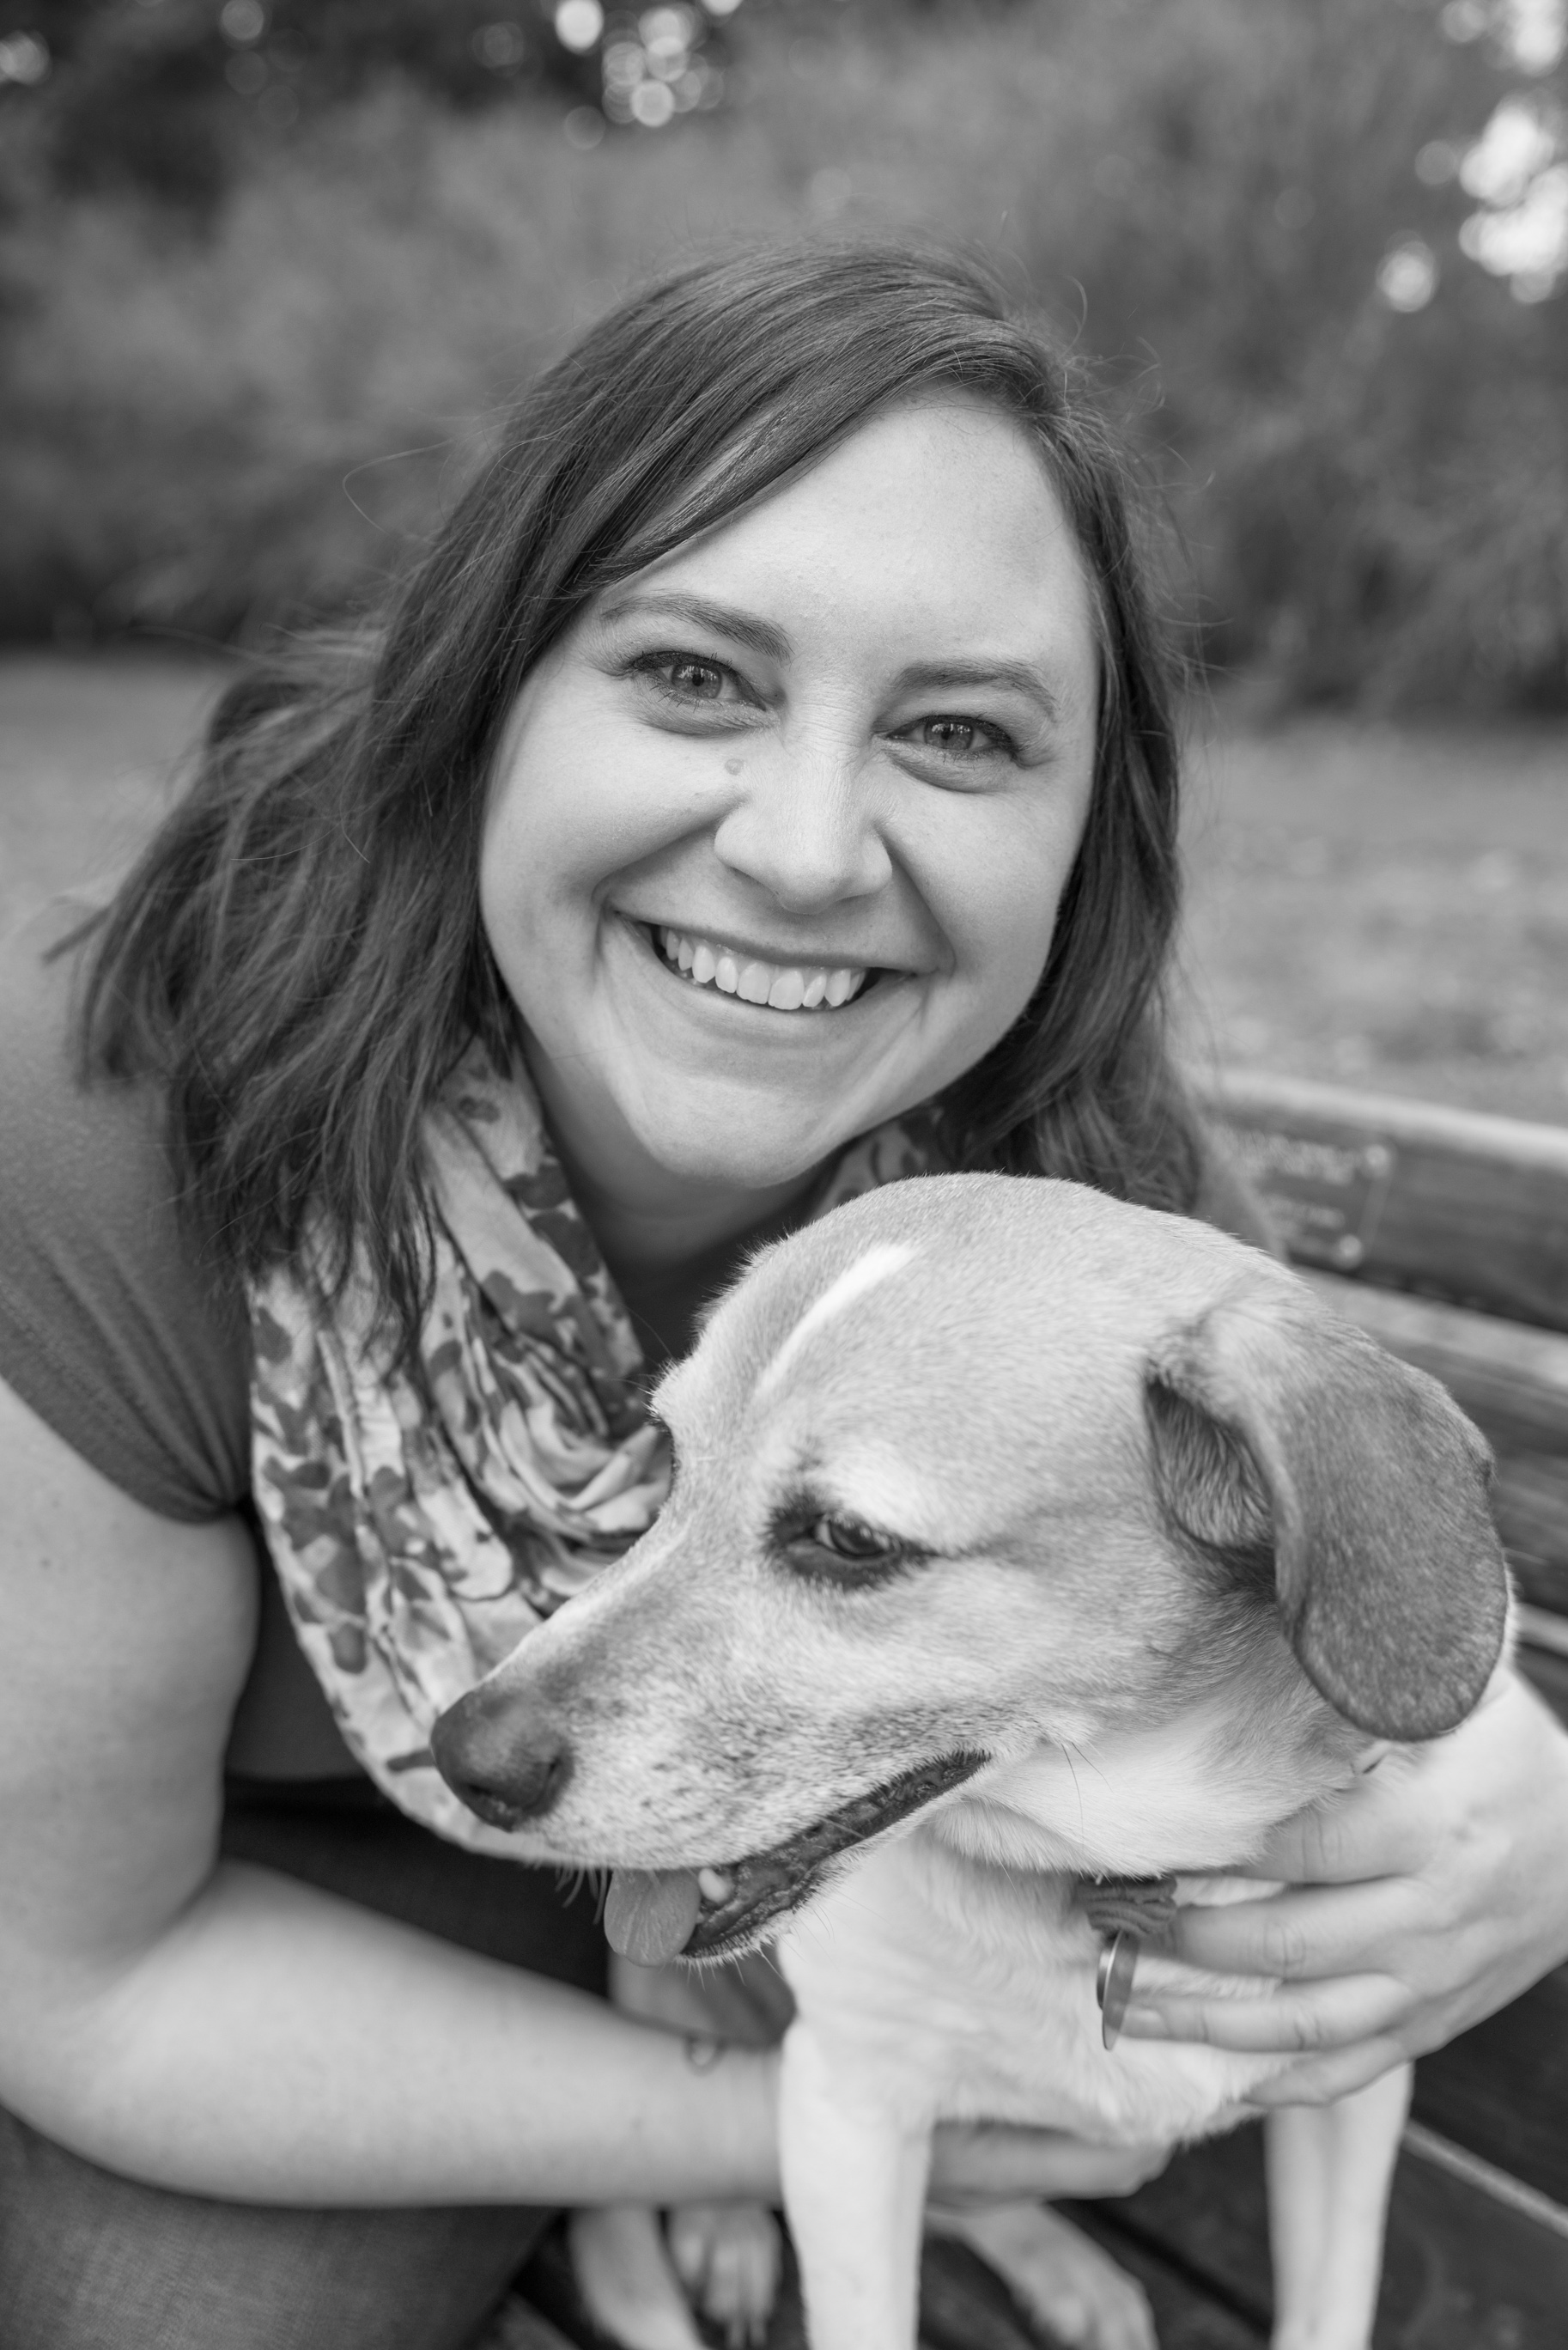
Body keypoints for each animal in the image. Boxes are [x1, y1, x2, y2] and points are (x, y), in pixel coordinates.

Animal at [432, 1173, 1509, 2350]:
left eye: (849, 1538)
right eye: (671, 1463)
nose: (463, 1757)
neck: (1116, 1884)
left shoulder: (1349, 2102)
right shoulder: (848, 2112)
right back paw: (734, 2233)